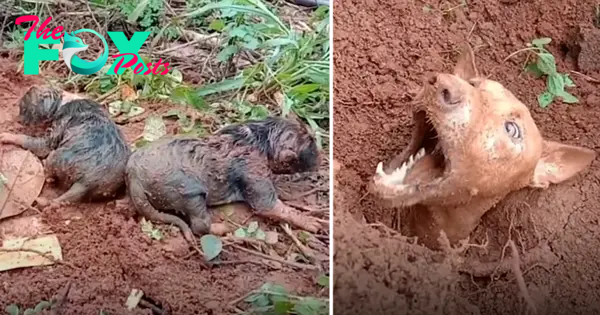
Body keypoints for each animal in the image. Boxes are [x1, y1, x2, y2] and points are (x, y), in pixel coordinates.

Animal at [0, 86, 130, 210]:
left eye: (24, 109)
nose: (18, 121)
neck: (63, 100)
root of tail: (86, 183)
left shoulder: (52, 135)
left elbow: (33, 142)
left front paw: (6, 135)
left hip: (55, 156)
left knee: (49, 175)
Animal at [125, 116, 324, 242]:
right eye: (311, 143)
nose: (321, 160)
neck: (261, 139)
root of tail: (133, 176)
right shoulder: (253, 169)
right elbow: (268, 206)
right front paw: (310, 221)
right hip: (187, 194)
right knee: (200, 225)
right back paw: (223, 229)